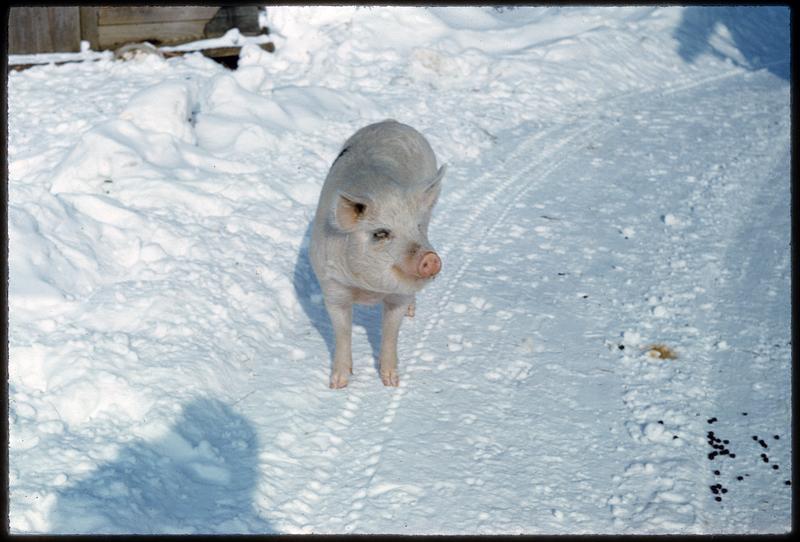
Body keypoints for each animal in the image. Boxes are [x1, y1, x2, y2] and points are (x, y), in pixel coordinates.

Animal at [310, 120, 446, 388]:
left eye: (416, 227)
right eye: (381, 233)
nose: (431, 258)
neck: (369, 290)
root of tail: (392, 123)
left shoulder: (399, 296)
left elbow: (391, 332)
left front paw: (391, 382)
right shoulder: (332, 285)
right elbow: (342, 332)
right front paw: (337, 384)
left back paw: (412, 312)